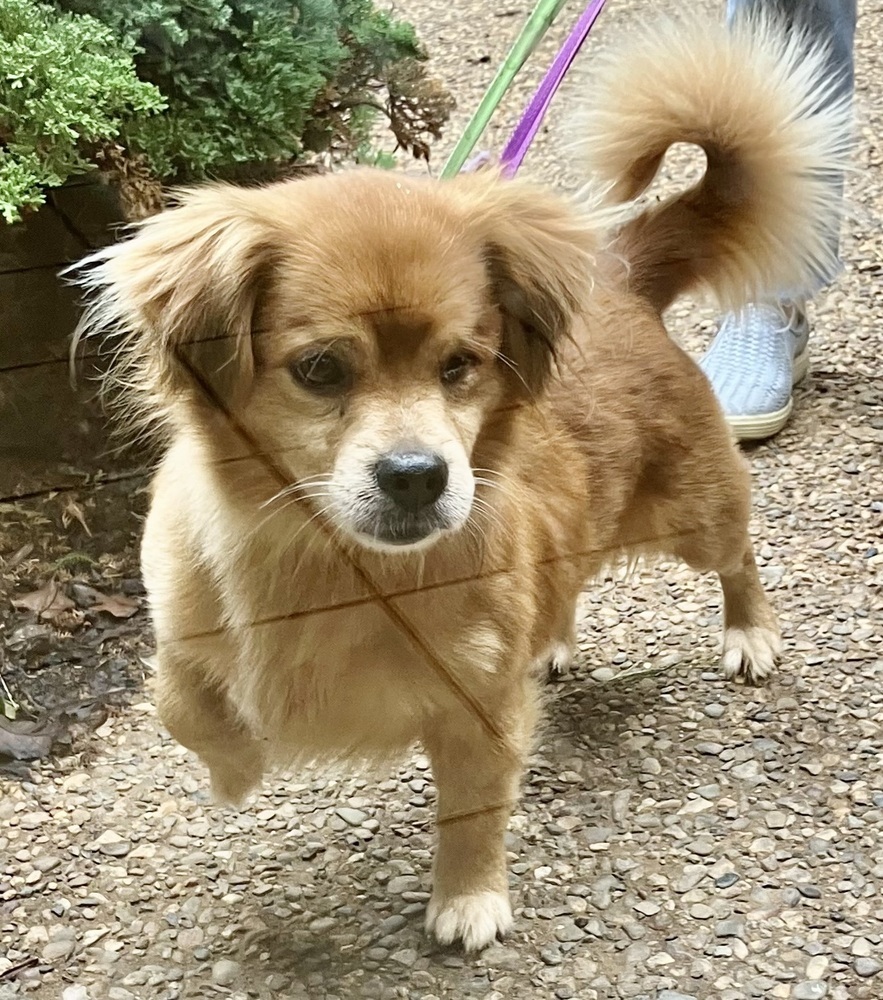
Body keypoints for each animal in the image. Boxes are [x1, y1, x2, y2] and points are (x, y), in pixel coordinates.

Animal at [79, 17, 852, 952]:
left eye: (459, 366)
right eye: (321, 369)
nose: (417, 476)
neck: (332, 567)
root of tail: (620, 285)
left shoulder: (477, 708)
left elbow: (472, 812)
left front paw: (467, 898)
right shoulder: (183, 631)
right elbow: (179, 706)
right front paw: (234, 772)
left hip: (698, 514)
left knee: (738, 558)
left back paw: (748, 634)